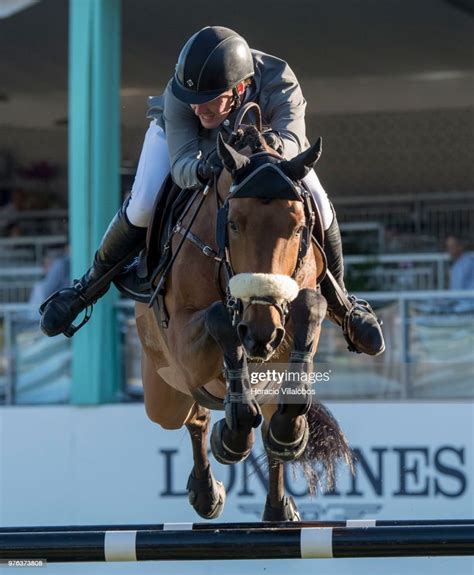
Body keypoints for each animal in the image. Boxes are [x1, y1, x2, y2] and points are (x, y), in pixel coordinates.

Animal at [133, 118, 352, 520]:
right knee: (194, 416)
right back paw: (207, 489)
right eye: (233, 224)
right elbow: (220, 317)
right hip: (164, 390)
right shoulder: (186, 344)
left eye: (298, 227)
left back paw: (278, 500)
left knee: (267, 428)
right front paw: (233, 433)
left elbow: (310, 307)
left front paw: (288, 428)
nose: (261, 333)